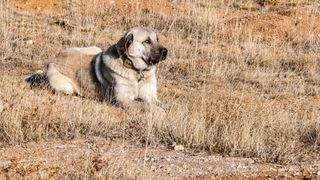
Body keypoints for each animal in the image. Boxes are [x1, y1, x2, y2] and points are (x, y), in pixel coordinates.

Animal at [25, 26, 168, 108]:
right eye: (147, 41)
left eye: (157, 39)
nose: (165, 51)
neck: (137, 71)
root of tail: (53, 60)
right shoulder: (124, 99)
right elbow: (145, 106)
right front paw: (158, 111)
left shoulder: (150, 95)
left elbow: (159, 103)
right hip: (65, 87)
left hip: (95, 48)